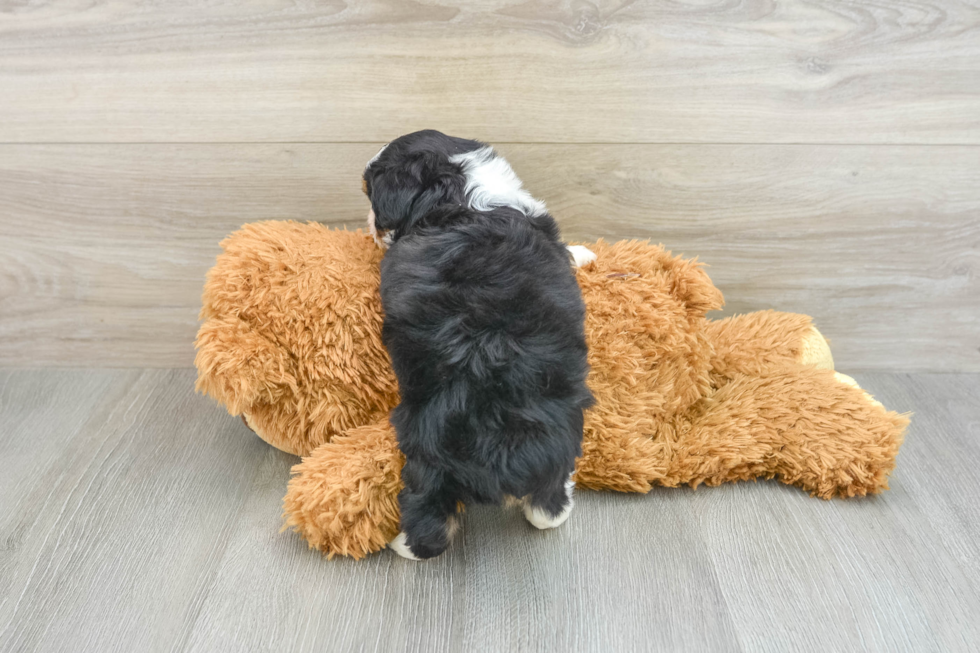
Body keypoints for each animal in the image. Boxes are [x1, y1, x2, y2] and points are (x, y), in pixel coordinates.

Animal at [366, 130, 596, 556]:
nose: (371, 226)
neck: (458, 192)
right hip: (560, 434)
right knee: (546, 506)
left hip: (425, 449)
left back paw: (401, 544)